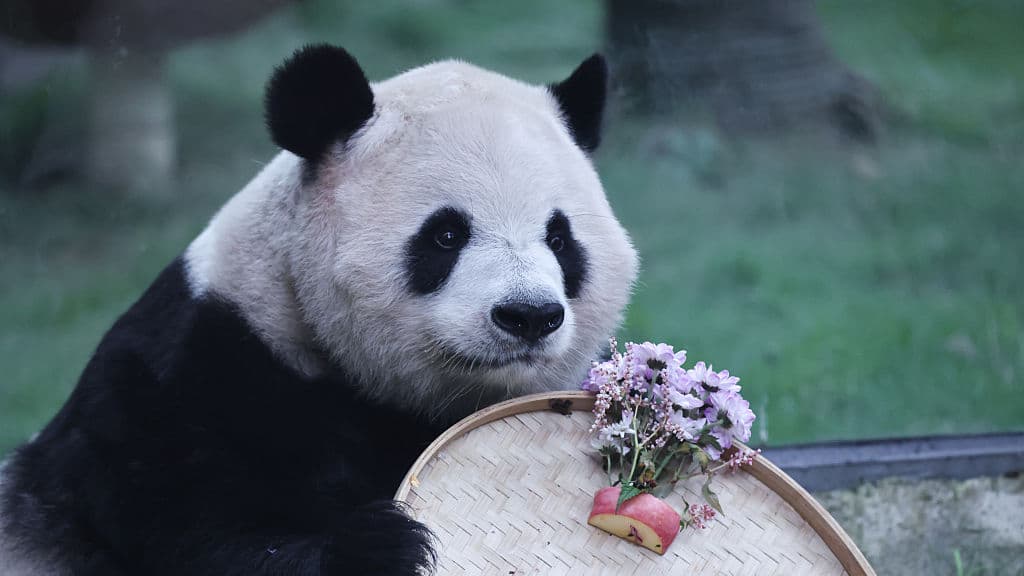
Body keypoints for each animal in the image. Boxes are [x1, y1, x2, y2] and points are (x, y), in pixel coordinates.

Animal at [0, 45, 638, 575]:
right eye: (446, 235)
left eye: (559, 238)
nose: (528, 315)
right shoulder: (183, 386)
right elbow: (190, 532)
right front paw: (386, 544)